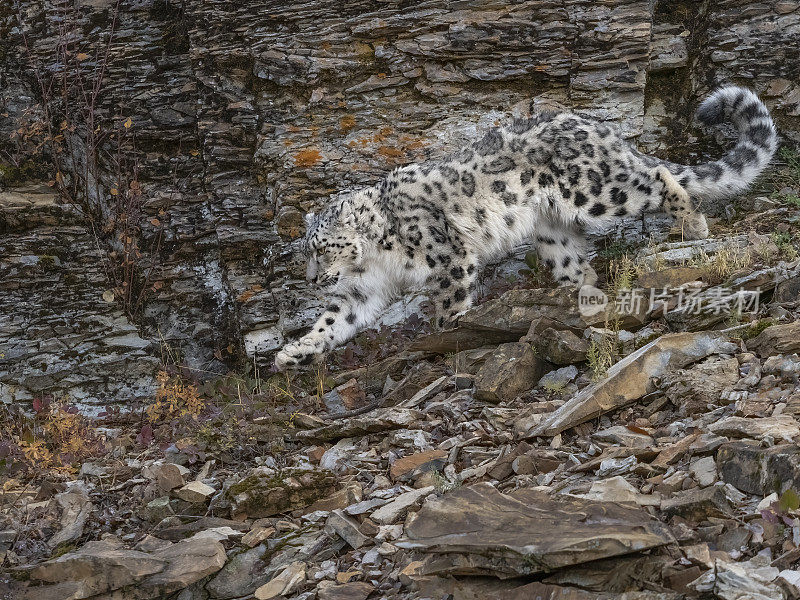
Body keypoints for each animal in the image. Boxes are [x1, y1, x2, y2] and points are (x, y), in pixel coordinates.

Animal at [274, 85, 776, 370]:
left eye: (321, 249)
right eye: (308, 252)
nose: (313, 280)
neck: (374, 261)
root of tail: (600, 127)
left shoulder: (448, 258)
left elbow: (449, 305)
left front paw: (443, 336)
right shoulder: (361, 294)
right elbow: (333, 321)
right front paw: (294, 351)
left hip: (595, 192)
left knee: (657, 177)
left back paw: (693, 223)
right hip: (554, 231)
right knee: (580, 265)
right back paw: (578, 297)